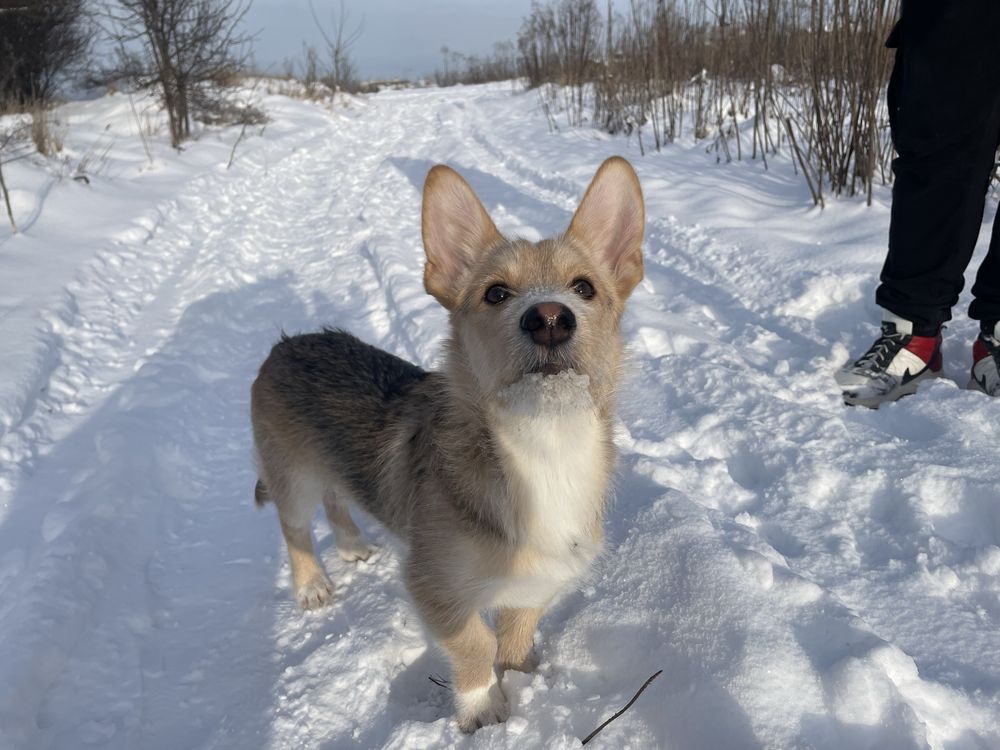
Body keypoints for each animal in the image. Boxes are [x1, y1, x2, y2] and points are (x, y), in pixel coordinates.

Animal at [252, 156, 648, 732]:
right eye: (496, 293)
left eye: (585, 288)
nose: (550, 319)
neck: (542, 447)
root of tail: (284, 345)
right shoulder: (433, 584)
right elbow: (474, 643)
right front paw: (483, 710)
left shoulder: (536, 582)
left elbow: (513, 637)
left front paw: (521, 679)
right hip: (292, 475)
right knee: (294, 526)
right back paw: (312, 584)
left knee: (336, 494)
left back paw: (350, 545)